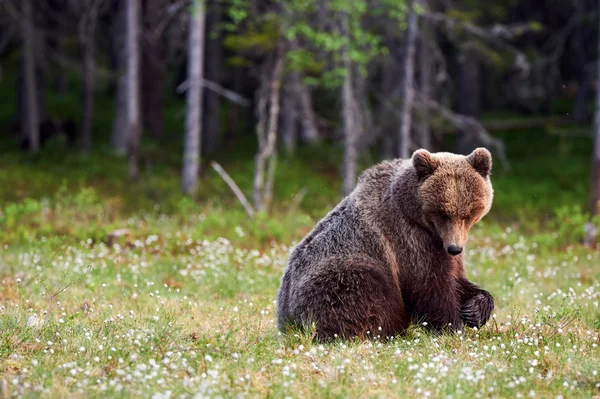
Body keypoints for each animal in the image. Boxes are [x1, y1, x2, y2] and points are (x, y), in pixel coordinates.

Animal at [274, 148, 494, 342]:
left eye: (468, 214)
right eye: (443, 213)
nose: (455, 248)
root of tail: (284, 319)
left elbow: (456, 279)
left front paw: (474, 309)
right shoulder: (410, 240)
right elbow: (431, 285)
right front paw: (453, 328)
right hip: (340, 274)